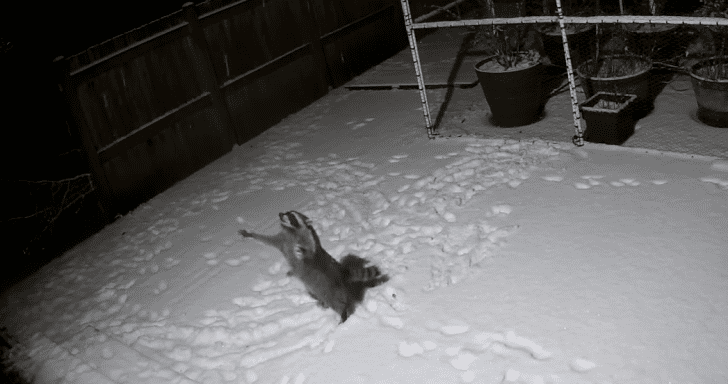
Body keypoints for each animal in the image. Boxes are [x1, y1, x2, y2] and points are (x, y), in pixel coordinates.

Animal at [237, 212, 386, 322]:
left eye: (291, 216)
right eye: (285, 213)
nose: (279, 214)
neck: (291, 230)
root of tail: (340, 271)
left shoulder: (307, 240)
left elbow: (311, 252)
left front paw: (303, 253)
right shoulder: (282, 240)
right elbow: (267, 239)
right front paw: (250, 234)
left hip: (330, 287)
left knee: (337, 302)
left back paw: (344, 315)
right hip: (314, 285)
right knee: (315, 293)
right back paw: (322, 302)